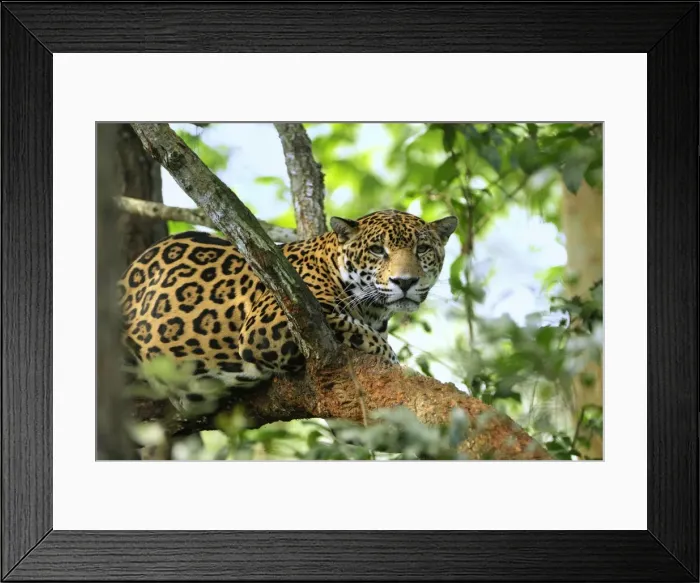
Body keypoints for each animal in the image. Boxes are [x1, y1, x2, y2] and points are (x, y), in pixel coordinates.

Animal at [117, 209, 458, 417]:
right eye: (377, 250)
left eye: (423, 249)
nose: (405, 282)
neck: (373, 310)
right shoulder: (272, 322)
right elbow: (363, 335)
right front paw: (392, 361)